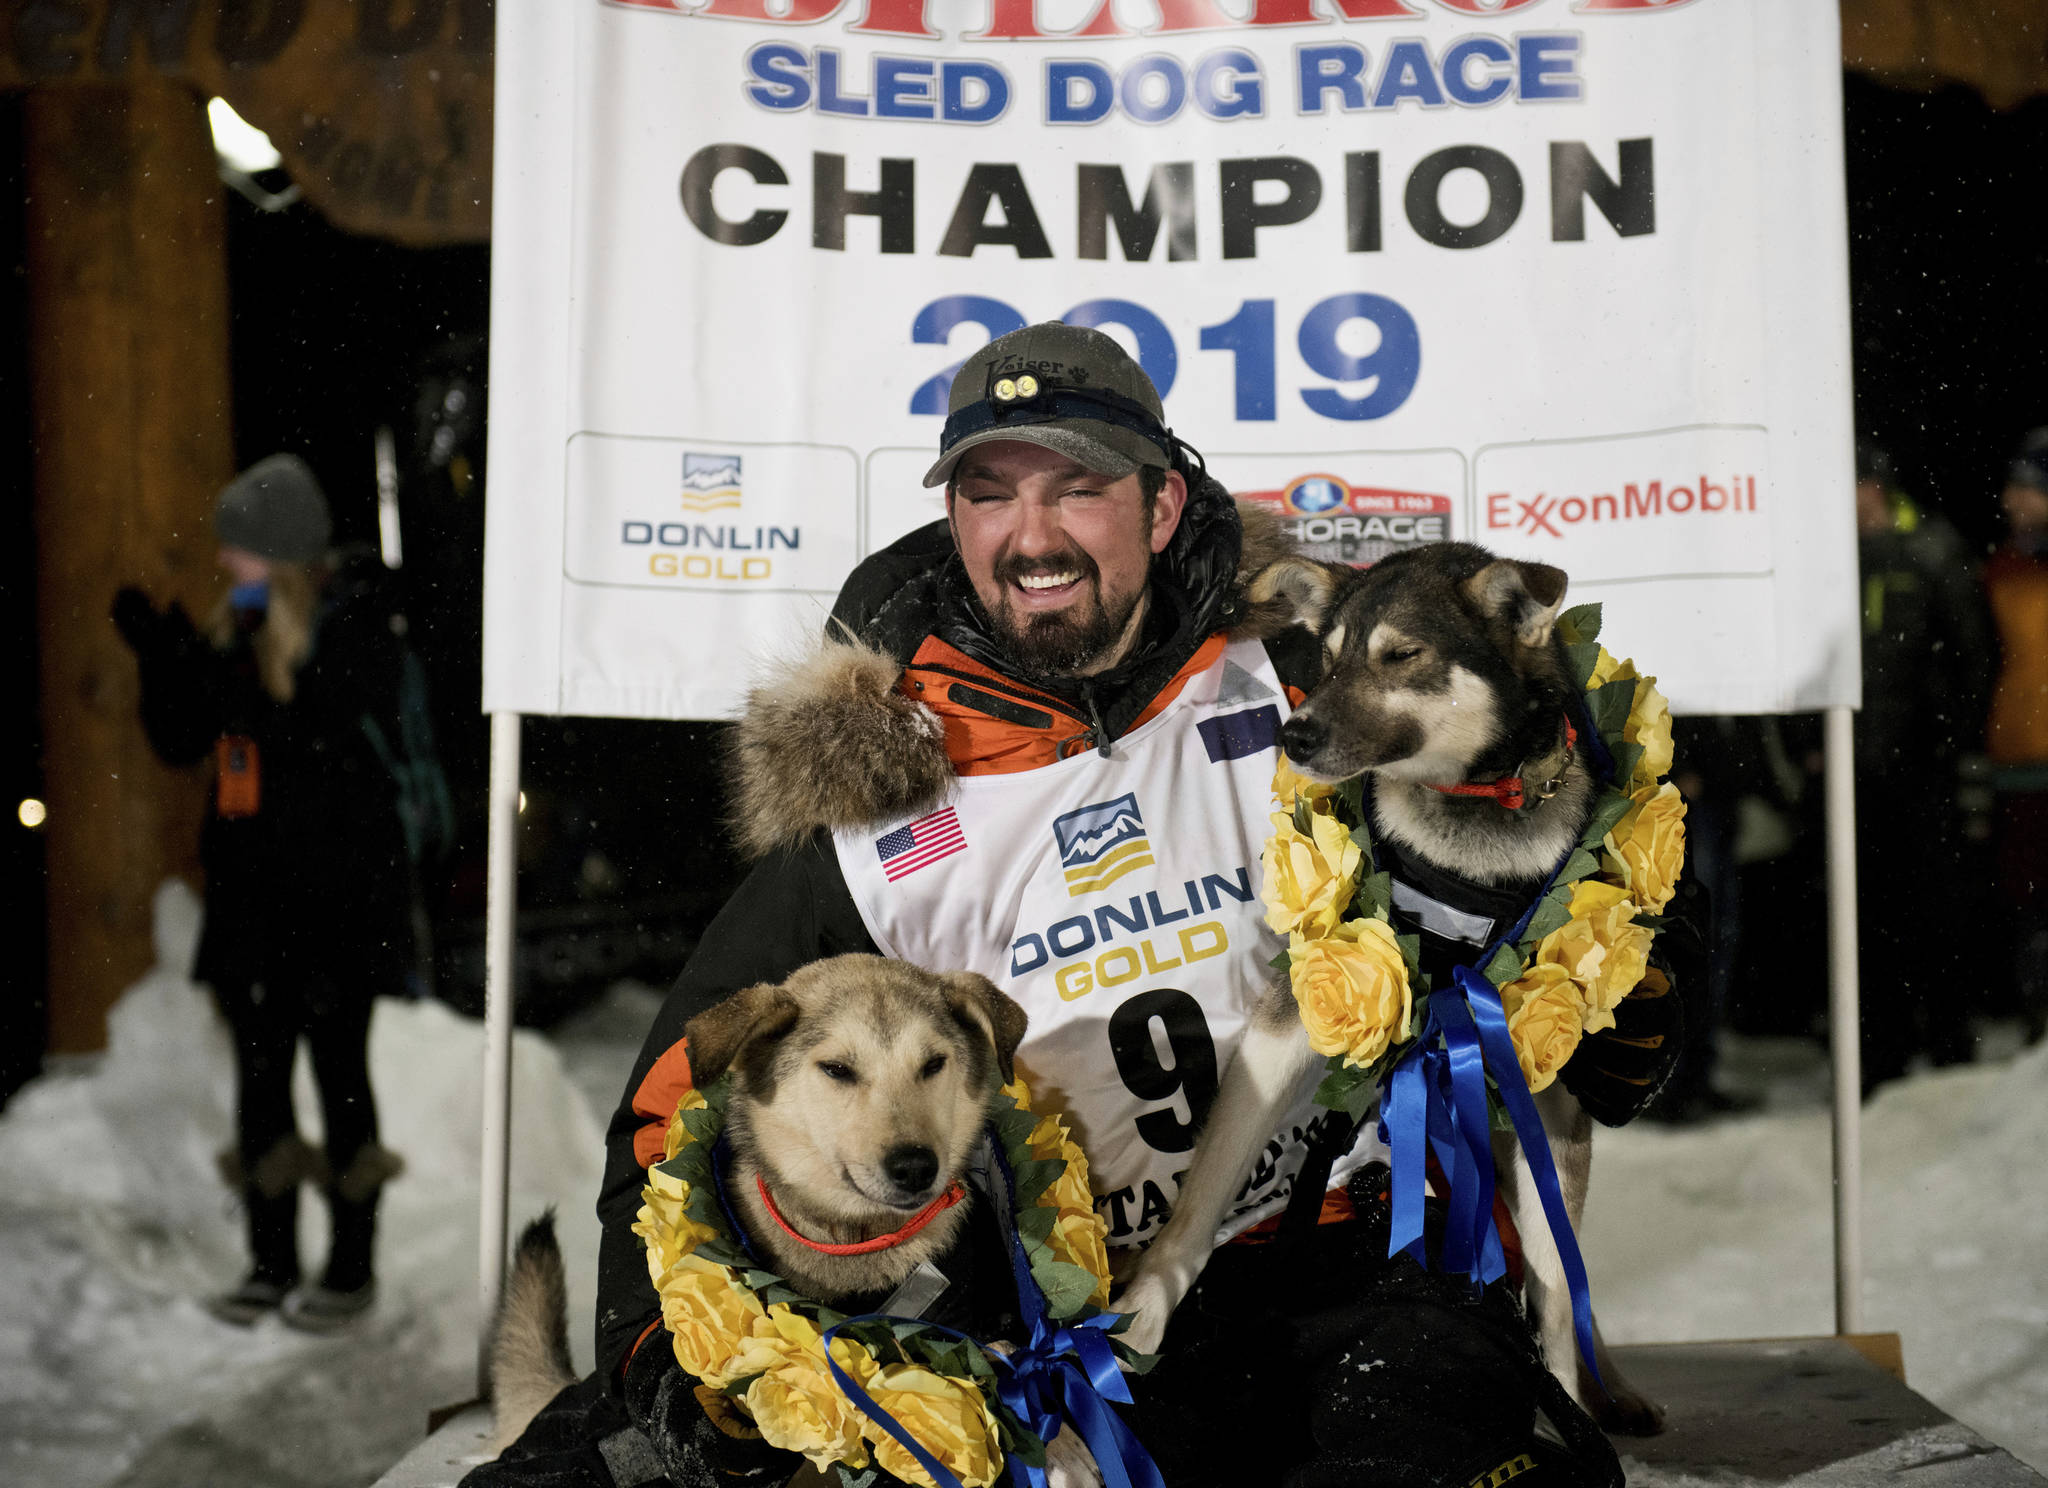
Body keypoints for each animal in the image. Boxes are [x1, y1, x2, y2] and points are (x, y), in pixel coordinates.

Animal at [1122, 540, 1662, 1440]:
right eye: (1328, 660)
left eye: (1402, 655)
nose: (1295, 731)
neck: (1470, 827)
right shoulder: (1294, 1017)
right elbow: (1199, 1202)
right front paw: (1137, 1320)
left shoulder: (1543, 1081)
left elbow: (1556, 1294)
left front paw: (1561, 1403)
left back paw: (1608, 1383)